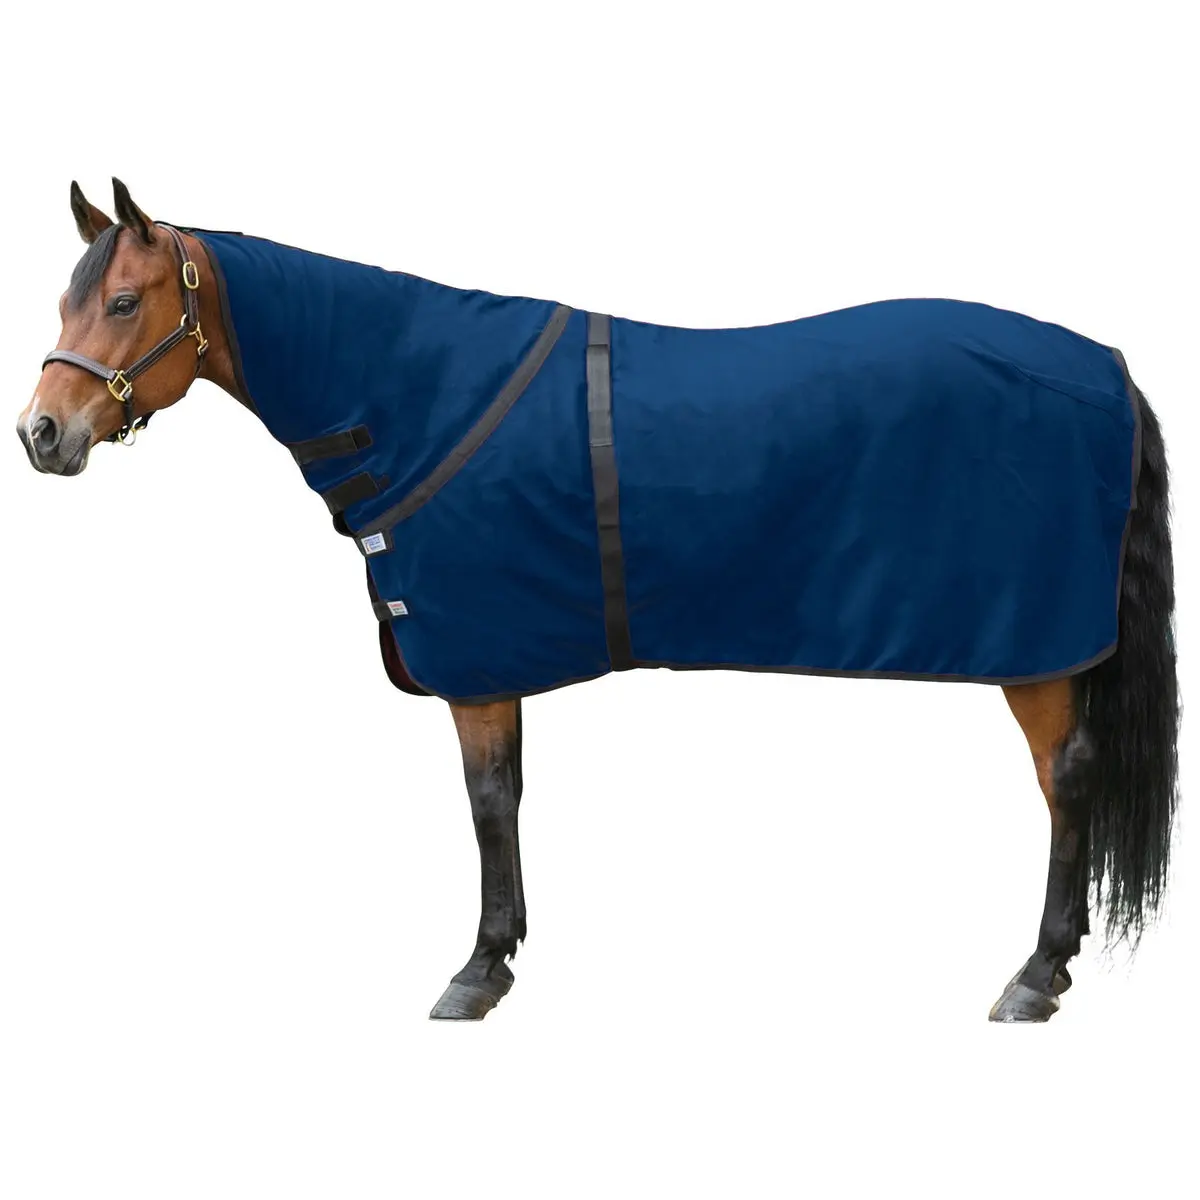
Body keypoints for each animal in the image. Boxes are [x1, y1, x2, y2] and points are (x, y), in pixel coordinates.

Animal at [17, 179, 1179, 1022]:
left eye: (124, 301)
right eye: (68, 302)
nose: (41, 433)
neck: (412, 394)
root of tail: (1107, 370)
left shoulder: (478, 663)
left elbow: (488, 802)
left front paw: (478, 970)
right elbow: (509, 797)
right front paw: (504, 950)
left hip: (1038, 652)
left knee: (1066, 781)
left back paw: (1036, 973)